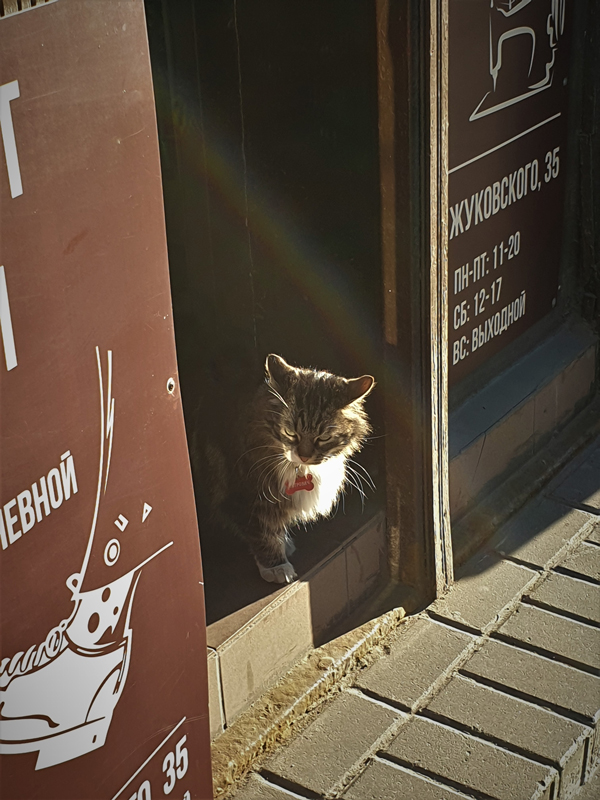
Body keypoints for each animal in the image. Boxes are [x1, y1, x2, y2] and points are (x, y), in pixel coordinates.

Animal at [207, 354, 376, 584]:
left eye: (324, 437)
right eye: (290, 433)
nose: (304, 455)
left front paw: (283, 544)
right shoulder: (244, 497)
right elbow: (262, 534)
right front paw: (276, 566)